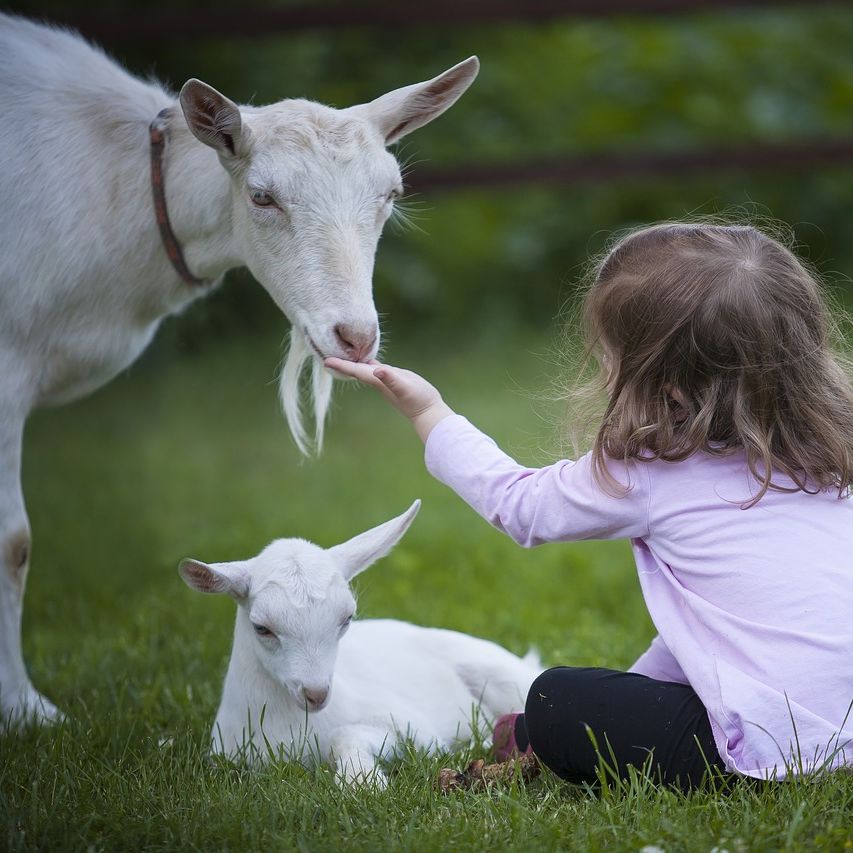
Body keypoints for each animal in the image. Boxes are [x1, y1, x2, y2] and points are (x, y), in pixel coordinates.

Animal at [180, 500, 540, 784]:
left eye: (346, 619)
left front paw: (362, 782)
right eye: (262, 628)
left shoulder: (416, 729)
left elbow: (347, 733)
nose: (316, 694)